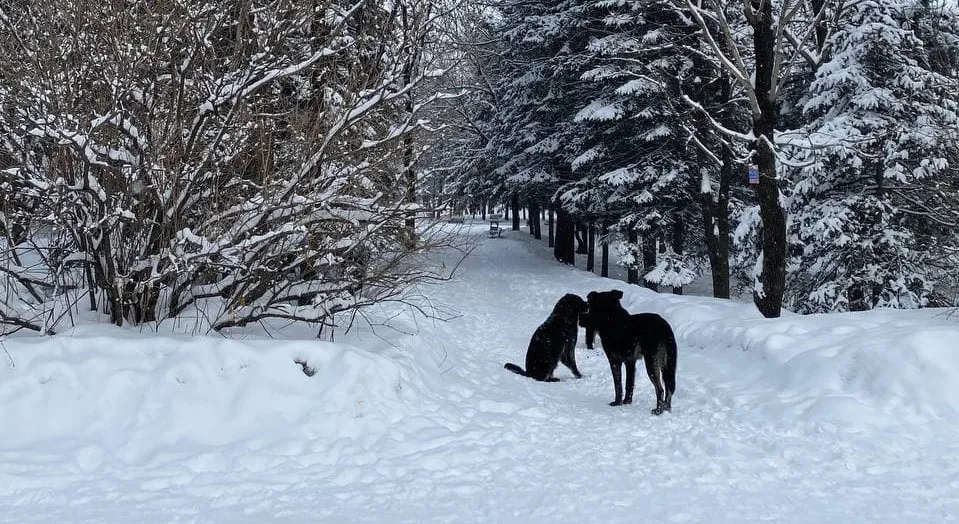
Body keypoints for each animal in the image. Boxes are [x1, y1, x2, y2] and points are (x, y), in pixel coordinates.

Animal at [580, 288, 680, 416]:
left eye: (589, 306)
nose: (580, 321)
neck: (610, 318)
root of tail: (665, 329)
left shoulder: (614, 360)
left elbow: (618, 385)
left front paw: (617, 402)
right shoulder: (630, 362)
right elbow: (629, 383)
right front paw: (627, 401)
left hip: (652, 362)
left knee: (660, 389)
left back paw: (658, 410)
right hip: (666, 364)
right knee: (669, 388)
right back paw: (666, 408)